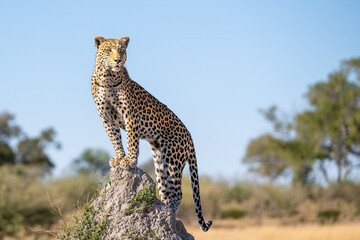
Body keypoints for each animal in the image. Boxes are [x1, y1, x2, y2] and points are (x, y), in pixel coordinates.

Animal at [90, 36, 212, 232]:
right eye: (109, 50)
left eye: (121, 50)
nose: (117, 60)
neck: (107, 77)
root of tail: (189, 134)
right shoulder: (105, 117)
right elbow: (115, 139)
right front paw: (119, 158)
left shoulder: (130, 115)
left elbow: (131, 140)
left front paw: (130, 160)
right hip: (160, 162)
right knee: (166, 192)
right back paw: (166, 212)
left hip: (173, 160)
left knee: (178, 193)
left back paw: (170, 218)